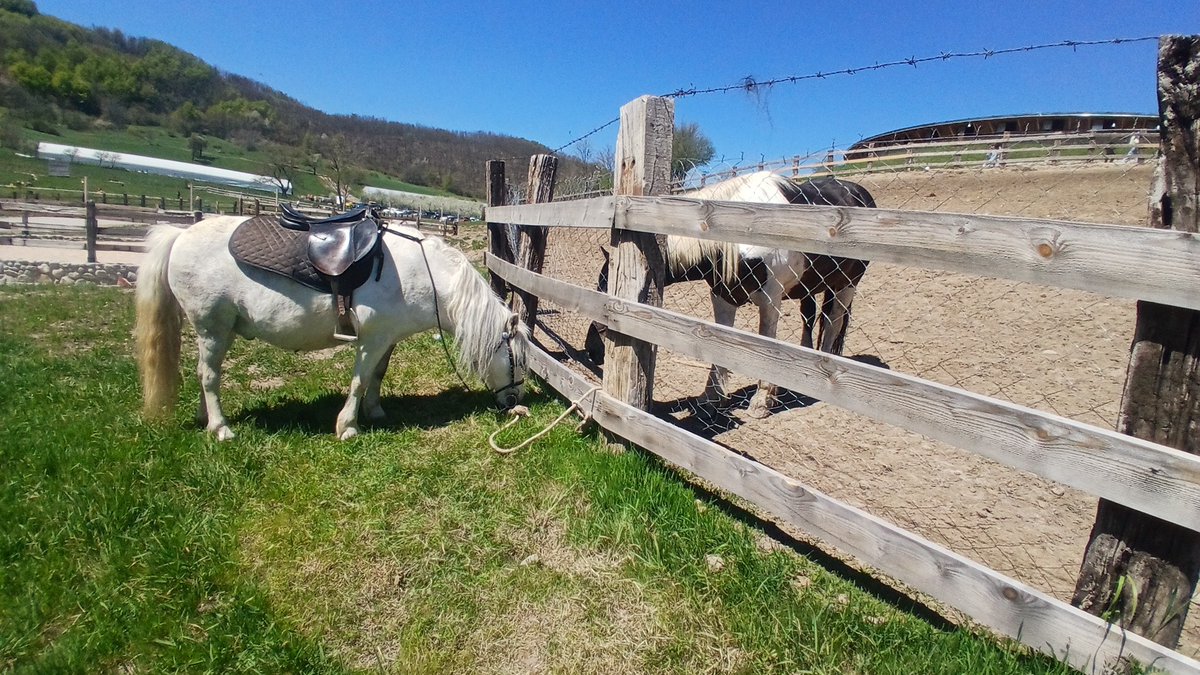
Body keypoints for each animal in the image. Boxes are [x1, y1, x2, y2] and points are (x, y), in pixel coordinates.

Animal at [134, 216, 529, 441]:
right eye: (518, 359)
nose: (515, 402)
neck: (425, 274)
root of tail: (180, 235)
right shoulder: (370, 339)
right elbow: (359, 380)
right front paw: (348, 427)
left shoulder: (387, 339)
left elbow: (377, 376)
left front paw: (375, 412)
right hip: (212, 327)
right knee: (209, 376)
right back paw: (220, 428)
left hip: (219, 330)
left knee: (205, 374)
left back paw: (206, 418)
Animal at [585, 171, 875, 418]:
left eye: (606, 287)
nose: (591, 349)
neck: (736, 233)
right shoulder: (723, 297)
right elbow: (719, 342)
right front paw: (711, 398)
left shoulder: (771, 300)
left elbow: (767, 344)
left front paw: (761, 401)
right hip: (810, 288)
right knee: (810, 317)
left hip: (847, 285)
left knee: (833, 322)